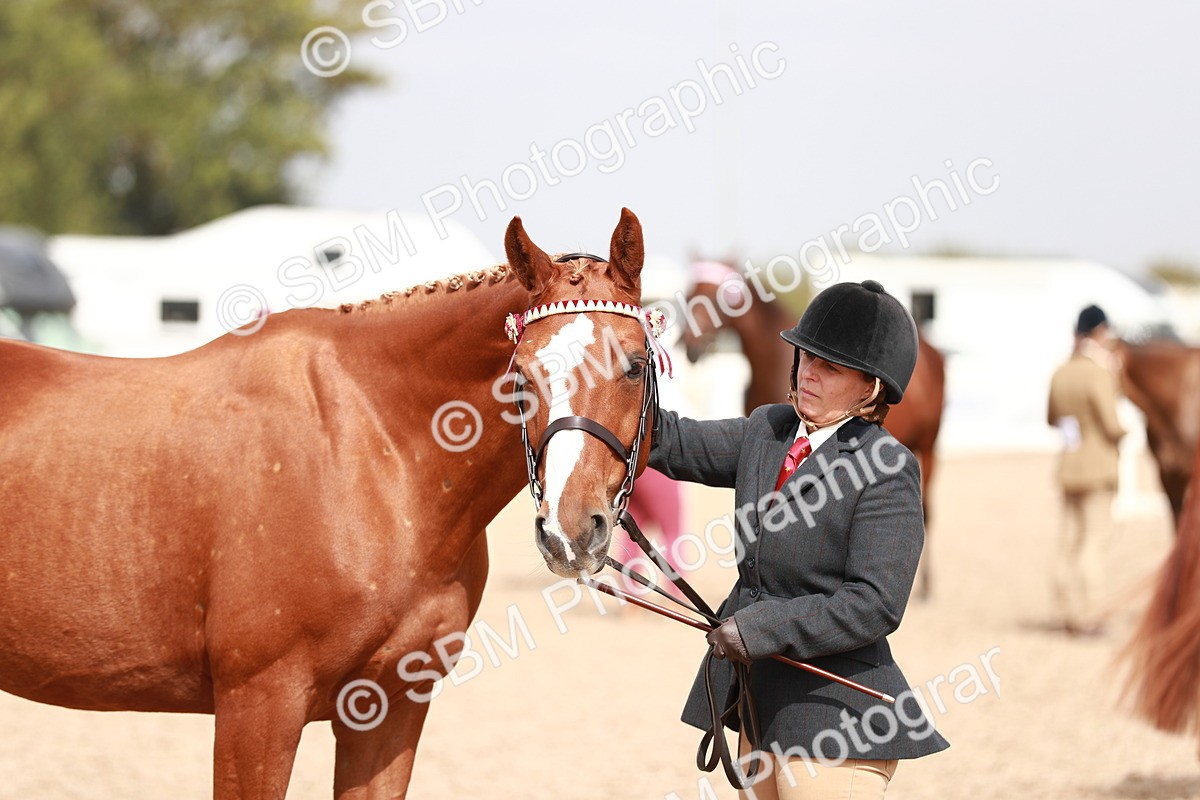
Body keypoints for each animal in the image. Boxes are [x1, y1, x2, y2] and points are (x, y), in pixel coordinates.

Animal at [0, 208, 654, 799]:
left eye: (635, 365)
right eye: (520, 376)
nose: (571, 531)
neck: (372, 450)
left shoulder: (389, 711)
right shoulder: (257, 710)